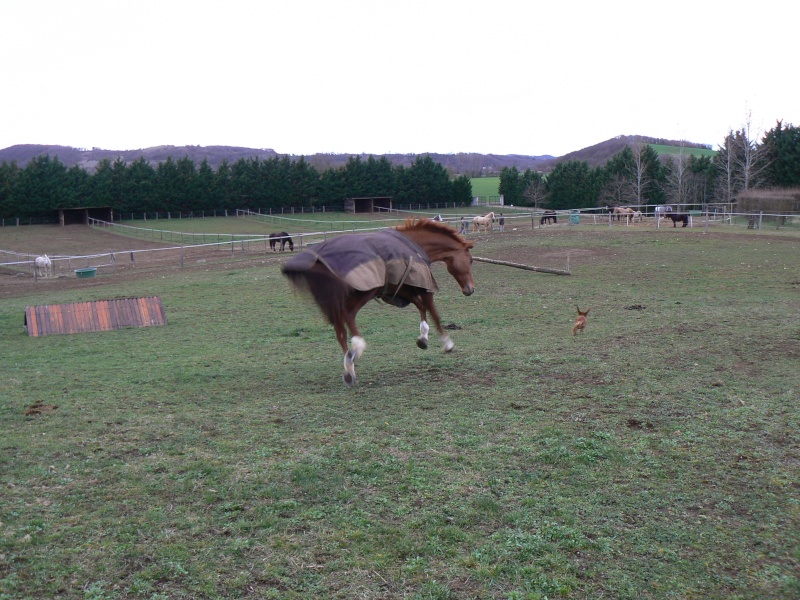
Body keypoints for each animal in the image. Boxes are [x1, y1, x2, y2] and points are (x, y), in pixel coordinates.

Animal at [282, 218, 476, 386]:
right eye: (471, 260)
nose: (470, 289)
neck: (414, 244)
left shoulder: (403, 288)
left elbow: (421, 308)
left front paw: (423, 338)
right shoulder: (423, 287)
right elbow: (433, 312)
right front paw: (447, 343)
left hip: (333, 300)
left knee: (339, 328)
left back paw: (349, 368)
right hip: (363, 292)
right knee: (348, 316)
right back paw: (356, 349)